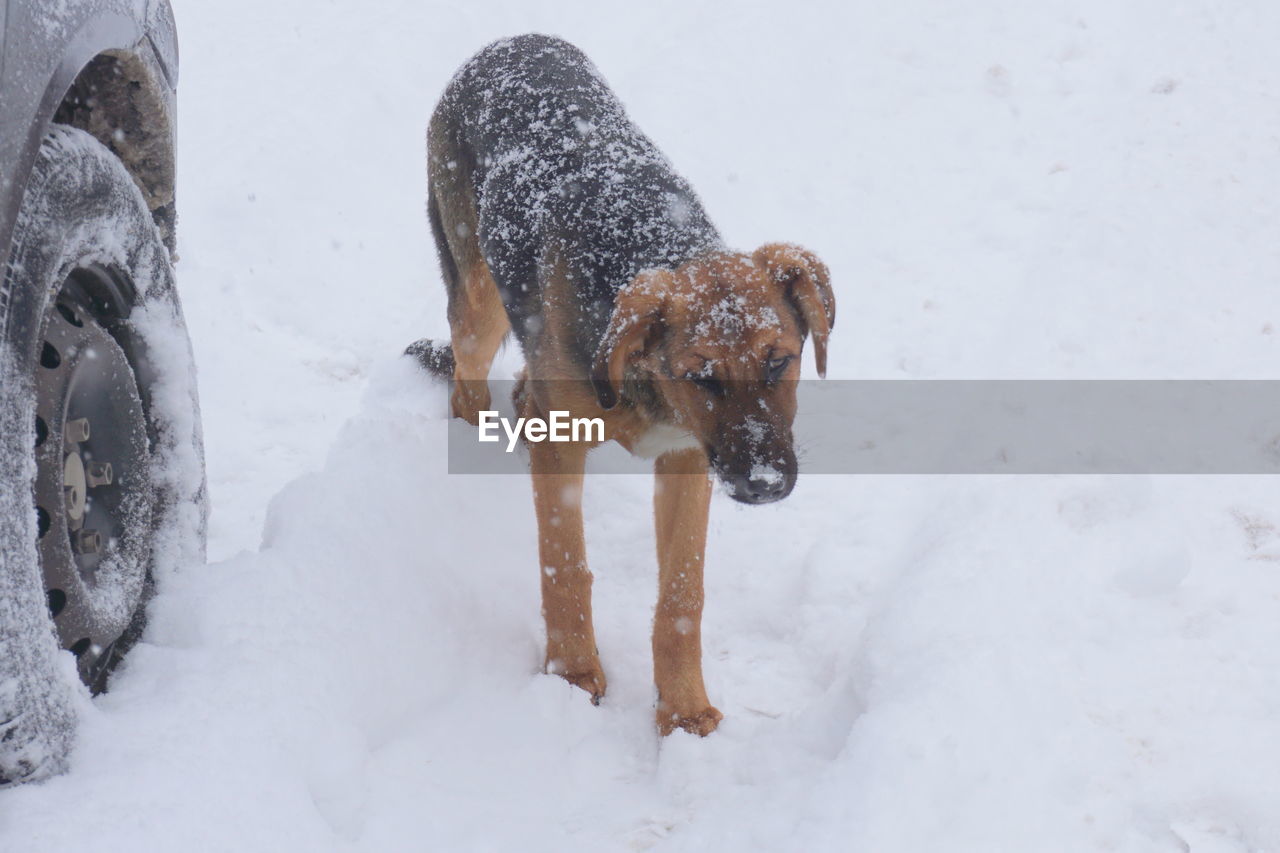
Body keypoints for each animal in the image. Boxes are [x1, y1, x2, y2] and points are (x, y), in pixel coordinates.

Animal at [404, 36, 834, 732]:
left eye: (780, 362)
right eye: (701, 376)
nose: (766, 485)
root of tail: (508, 41)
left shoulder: (688, 458)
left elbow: (683, 593)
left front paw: (683, 711)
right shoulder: (567, 444)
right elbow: (565, 568)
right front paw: (573, 677)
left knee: (519, 391)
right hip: (477, 298)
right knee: (468, 388)